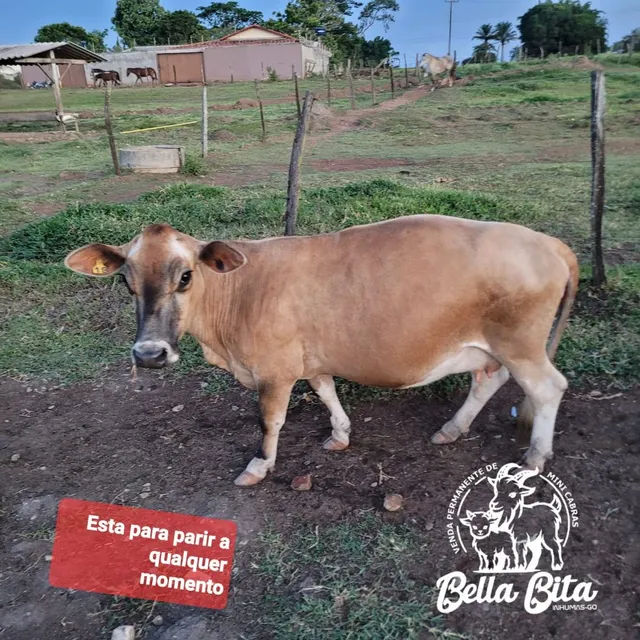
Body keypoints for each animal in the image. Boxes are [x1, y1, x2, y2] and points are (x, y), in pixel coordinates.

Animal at [64, 215, 578, 487]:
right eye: (125, 282)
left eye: (186, 275)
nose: (149, 354)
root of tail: (548, 242)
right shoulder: (308, 359)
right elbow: (327, 391)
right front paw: (340, 434)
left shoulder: (273, 371)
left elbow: (270, 421)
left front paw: (259, 465)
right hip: (492, 346)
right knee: (488, 380)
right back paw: (451, 429)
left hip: (521, 344)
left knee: (549, 387)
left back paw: (536, 456)